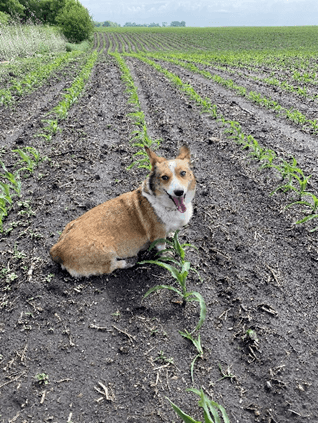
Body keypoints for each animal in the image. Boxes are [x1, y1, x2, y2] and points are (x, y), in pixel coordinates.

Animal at [49, 146, 195, 278]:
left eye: (183, 173)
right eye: (164, 177)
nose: (179, 192)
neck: (164, 203)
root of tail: (57, 249)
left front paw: (171, 235)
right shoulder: (158, 235)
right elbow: (162, 247)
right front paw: (167, 255)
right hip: (107, 253)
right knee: (112, 266)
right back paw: (129, 261)